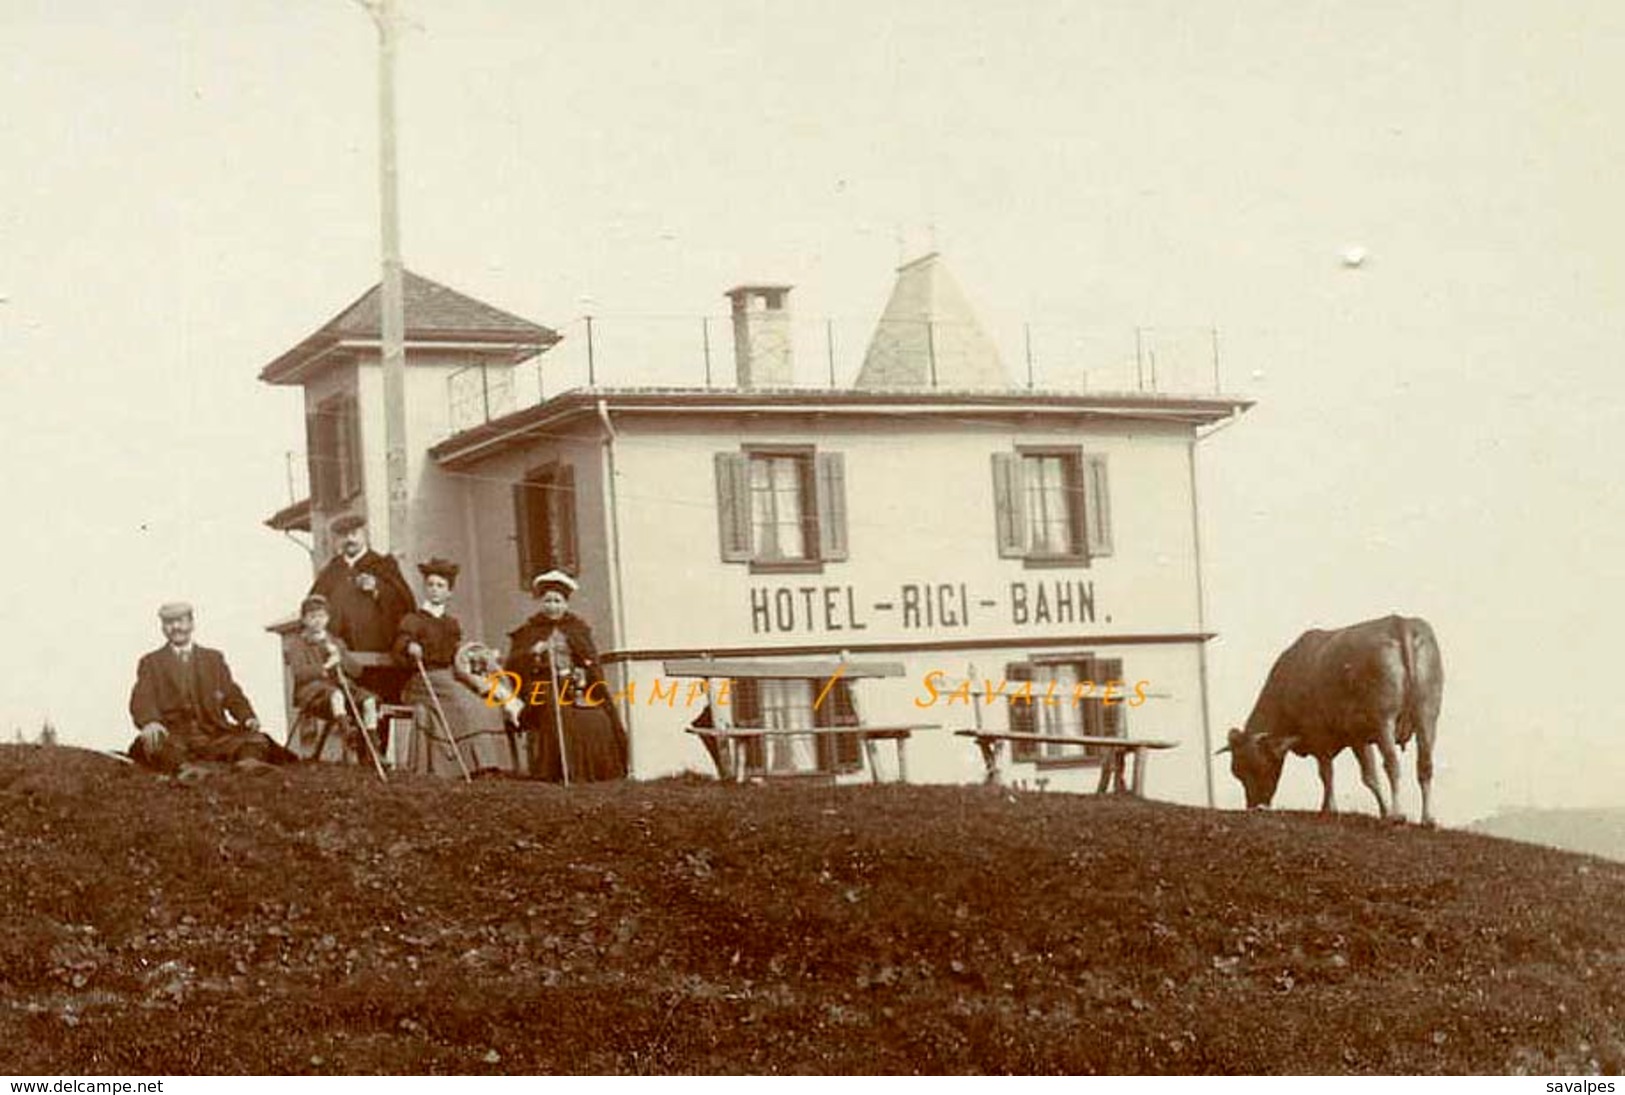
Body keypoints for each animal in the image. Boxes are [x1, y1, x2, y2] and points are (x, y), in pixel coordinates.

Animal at [1222, 614, 1443, 818]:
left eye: (1254, 768)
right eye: (1237, 772)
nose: (1255, 807)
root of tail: (1399, 622)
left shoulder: (1320, 736)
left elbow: (1328, 773)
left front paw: (1330, 808)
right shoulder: (1358, 738)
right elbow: (1369, 777)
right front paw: (1383, 812)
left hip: (1384, 720)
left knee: (1392, 764)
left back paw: (1399, 815)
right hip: (1427, 715)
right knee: (1425, 765)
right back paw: (1427, 818)